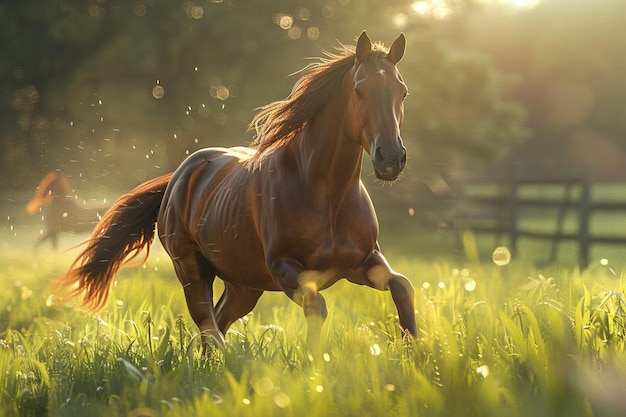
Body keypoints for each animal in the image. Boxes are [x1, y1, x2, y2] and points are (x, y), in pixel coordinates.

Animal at [58, 32, 416, 350]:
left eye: (402, 92)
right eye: (359, 90)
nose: (391, 158)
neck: (327, 193)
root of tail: (179, 176)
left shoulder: (363, 261)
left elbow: (403, 286)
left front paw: (415, 352)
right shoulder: (284, 267)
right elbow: (317, 306)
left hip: (243, 286)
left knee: (216, 324)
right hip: (192, 270)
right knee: (208, 327)